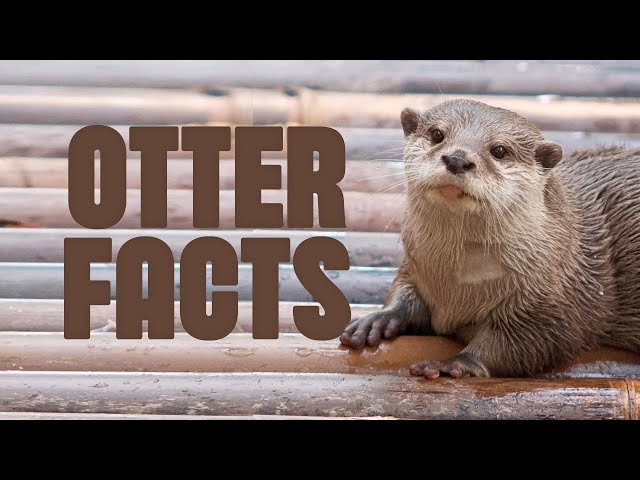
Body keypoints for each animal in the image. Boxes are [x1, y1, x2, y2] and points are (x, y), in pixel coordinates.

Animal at [340, 99, 640, 379]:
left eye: (499, 150)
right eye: (437, 134)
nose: (457, 159)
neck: (460, 285)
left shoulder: (555, 298)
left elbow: (531, 343)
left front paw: (454, 364)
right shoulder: (415, 266)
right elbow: (404, 291)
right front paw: (378, 320)